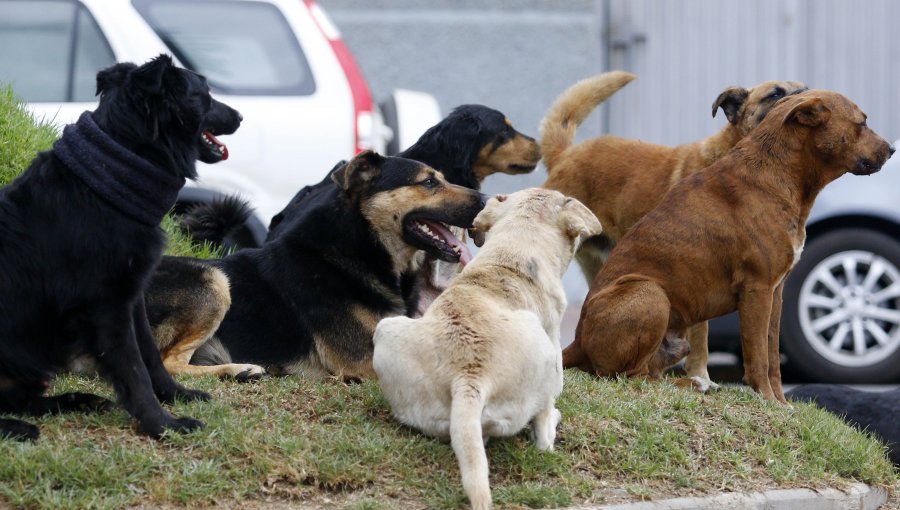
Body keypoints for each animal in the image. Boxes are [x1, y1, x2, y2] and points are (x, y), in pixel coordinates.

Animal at [0, 53, 241, 440]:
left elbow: (150, 356)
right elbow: (133, 369)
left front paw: (175, 395)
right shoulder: (108, 306)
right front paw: (162, 424)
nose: (240, 116)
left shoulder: (132, 296)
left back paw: (77, 401)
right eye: (203, 94)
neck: (110, 180)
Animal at [146, 149, 486, 380]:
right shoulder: (363, 359)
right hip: (214, 281)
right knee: (168, 363)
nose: (486, 200)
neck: (360, 249)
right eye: (428, 182)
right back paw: (239, 370)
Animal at [564, 90, 892, 402]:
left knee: (650, 374)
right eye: (862, 123)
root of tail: (576, 341)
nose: (892, 150)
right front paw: (768, 401)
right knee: (631, 376)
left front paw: (782, 404)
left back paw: (695, 384)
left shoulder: (776, 293)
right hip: (648, 291)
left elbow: (773, 355)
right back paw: (695, 384)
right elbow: (758, 356)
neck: (779, 172)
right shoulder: (757, 290)